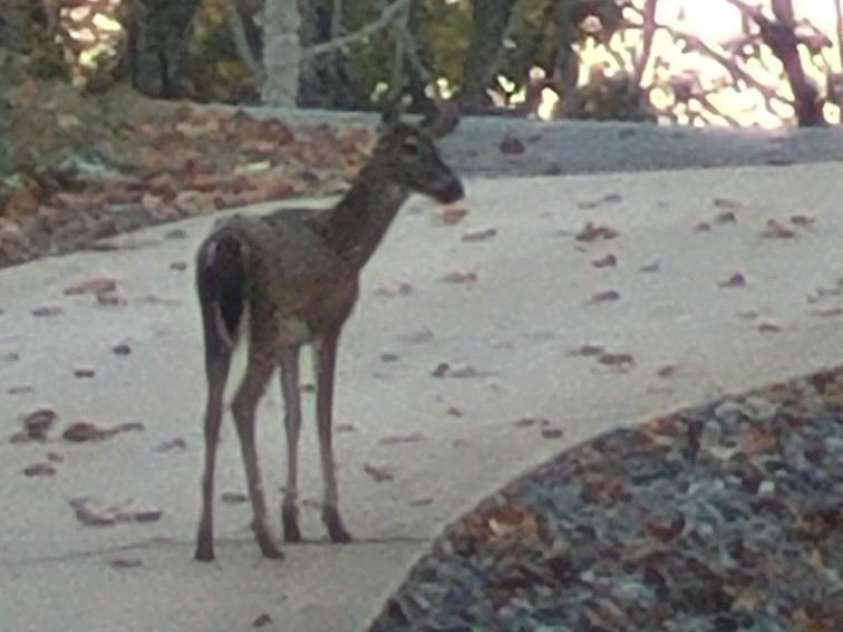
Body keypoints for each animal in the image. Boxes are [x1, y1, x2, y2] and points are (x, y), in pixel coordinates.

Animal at [193, 101, 464, 562]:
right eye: (410, 147)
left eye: (436, 145)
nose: (455, 188)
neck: (345, 245)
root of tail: (223, 247)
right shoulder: (329, 321)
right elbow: (323, 414)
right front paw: (332, 521)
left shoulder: (291, 340)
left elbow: (294, 416)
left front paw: (292, 520)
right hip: (263, 322)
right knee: (241, 405)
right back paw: (264, 539)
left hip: (217, 332)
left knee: (211, 413)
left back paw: (206, 541)